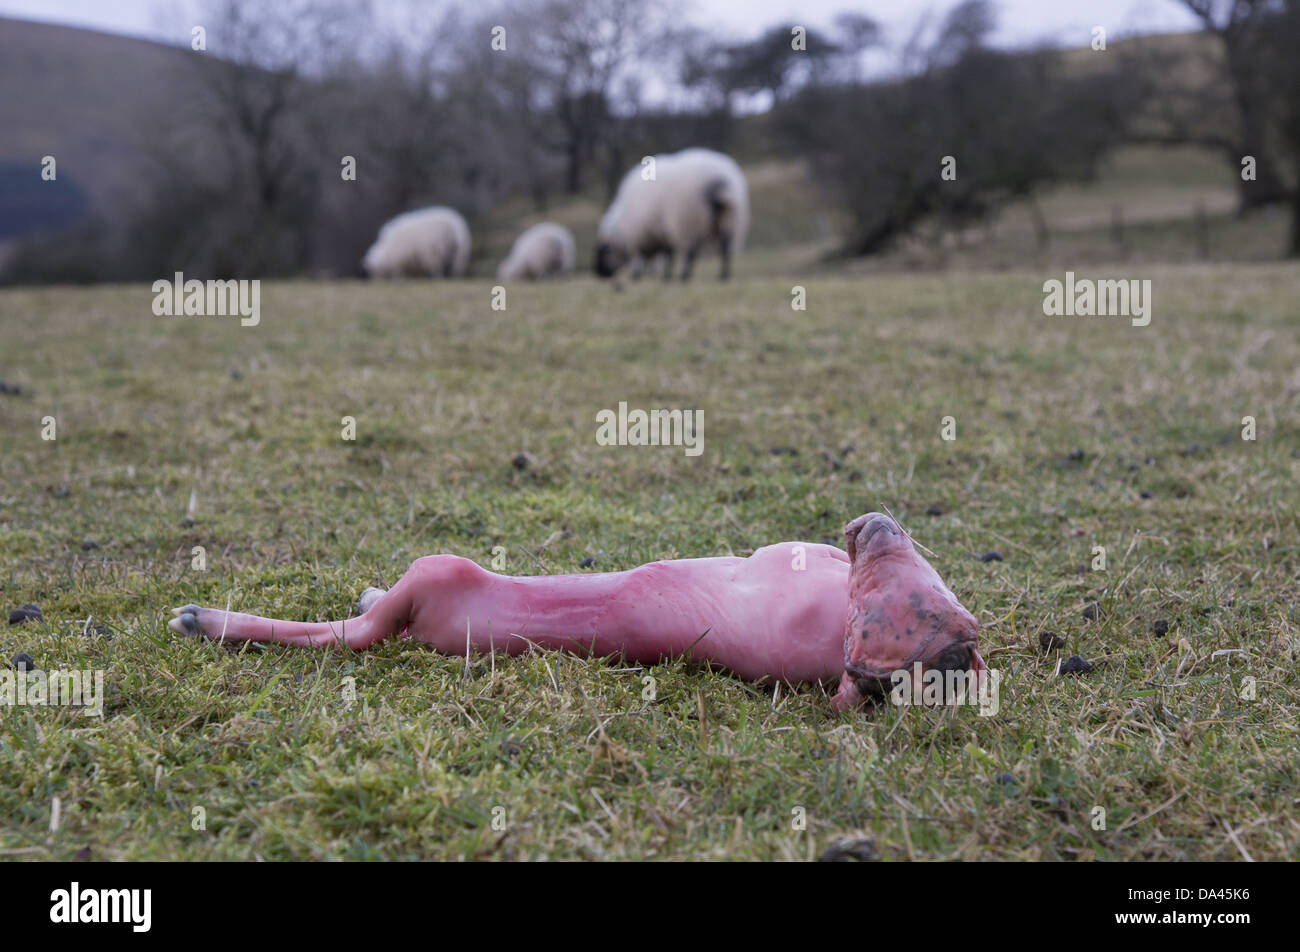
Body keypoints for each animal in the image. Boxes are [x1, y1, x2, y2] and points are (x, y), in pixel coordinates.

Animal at [592, 145, 748, 278]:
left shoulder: (639, 237)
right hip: (729, 220)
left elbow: (650, 256)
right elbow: (667, 253)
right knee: (725, 250)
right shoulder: (661, 232)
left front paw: (639, 275)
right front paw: (664, 276)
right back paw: (723, 276)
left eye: (605, 249)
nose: (599, 273)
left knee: (690, 252)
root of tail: (718, 180)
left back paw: (685, 276)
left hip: (689, 222)